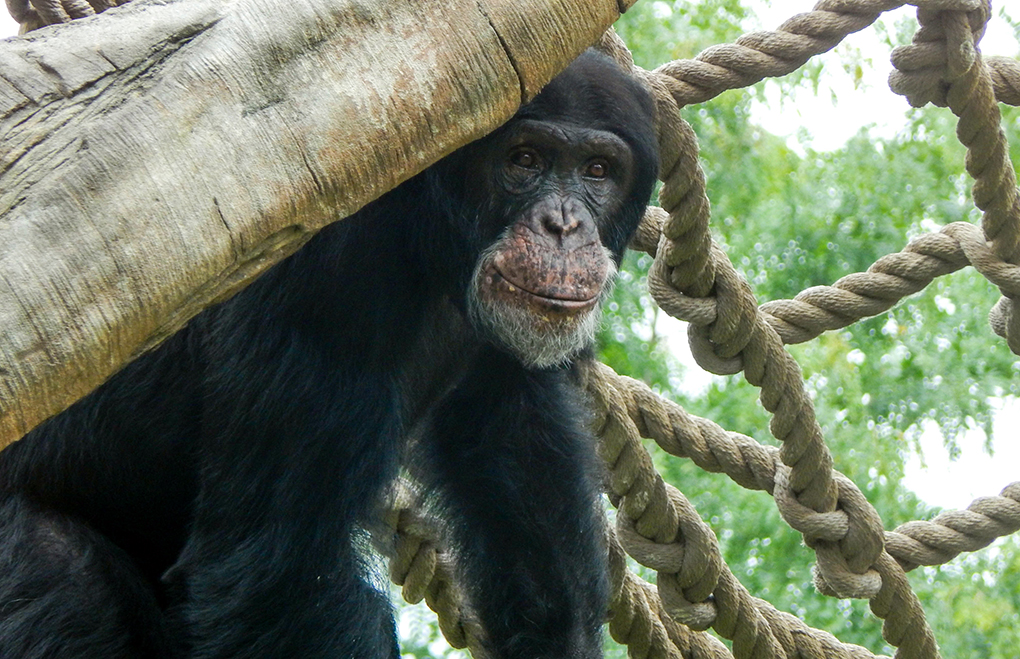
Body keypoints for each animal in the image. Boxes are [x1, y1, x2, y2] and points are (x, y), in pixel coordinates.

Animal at [0, 48, 656, 656]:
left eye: (598, 169)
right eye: (524, 159)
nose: (563, 224)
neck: (429, 234)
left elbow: (514, 460)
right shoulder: (324, 283)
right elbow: (286, 572)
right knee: (68, 578)